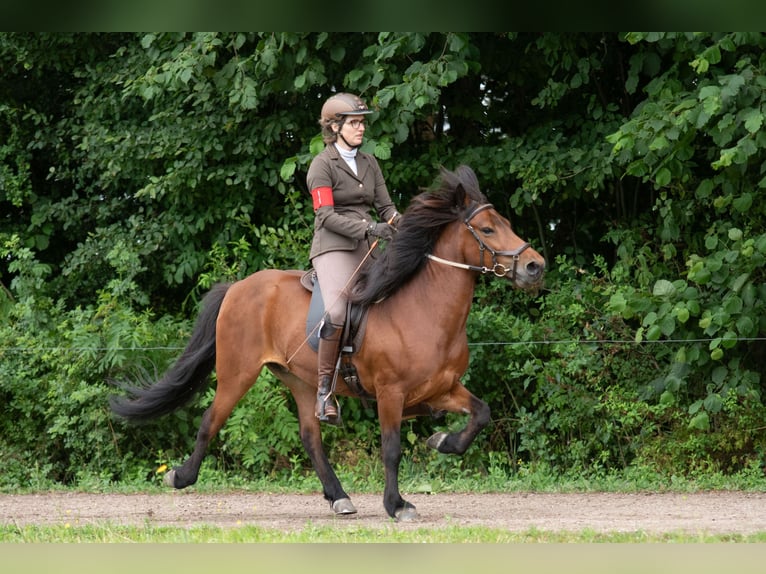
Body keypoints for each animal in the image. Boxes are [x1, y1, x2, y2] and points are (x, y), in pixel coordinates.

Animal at [110, 164, 545, 521]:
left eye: (504, 222)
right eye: (487, 230)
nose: (534, 266)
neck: (426, 309)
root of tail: (238, 287)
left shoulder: (442, 388)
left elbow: (481, 413)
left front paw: (442, 441)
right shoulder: (390, 392)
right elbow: (391, 448)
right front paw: (396, 505)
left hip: (300, 380)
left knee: (310, 436)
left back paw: (339, 497)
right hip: (237, 372)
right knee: (210, 421)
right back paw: (181, 476)